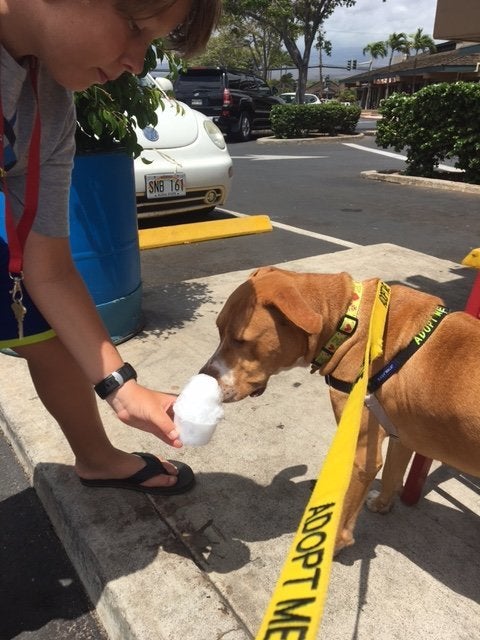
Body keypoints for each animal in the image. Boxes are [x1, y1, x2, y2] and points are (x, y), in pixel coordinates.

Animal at [201, 268, 480, 552]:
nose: (203, 377)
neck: (349, 323)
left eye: (241, 340)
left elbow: (343, 515)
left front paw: (330, 547)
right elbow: (391, 474)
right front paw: (381, 505)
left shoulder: (362, 455)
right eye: (219, 330)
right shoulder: (403, 435)